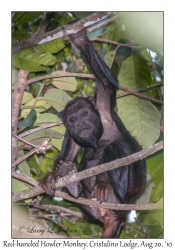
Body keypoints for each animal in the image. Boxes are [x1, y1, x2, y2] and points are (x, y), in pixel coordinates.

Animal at [40, 29, 146, 238]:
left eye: (84, 114)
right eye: (72, 119)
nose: (80, 123)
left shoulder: (103, 108)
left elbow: (106, 83)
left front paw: (79, 38)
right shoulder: (71, 134)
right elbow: (67, 156)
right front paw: (52, 176)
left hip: (121, 204)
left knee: (116, 148)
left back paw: (110, 190)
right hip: (90, 210)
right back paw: (73, 186)